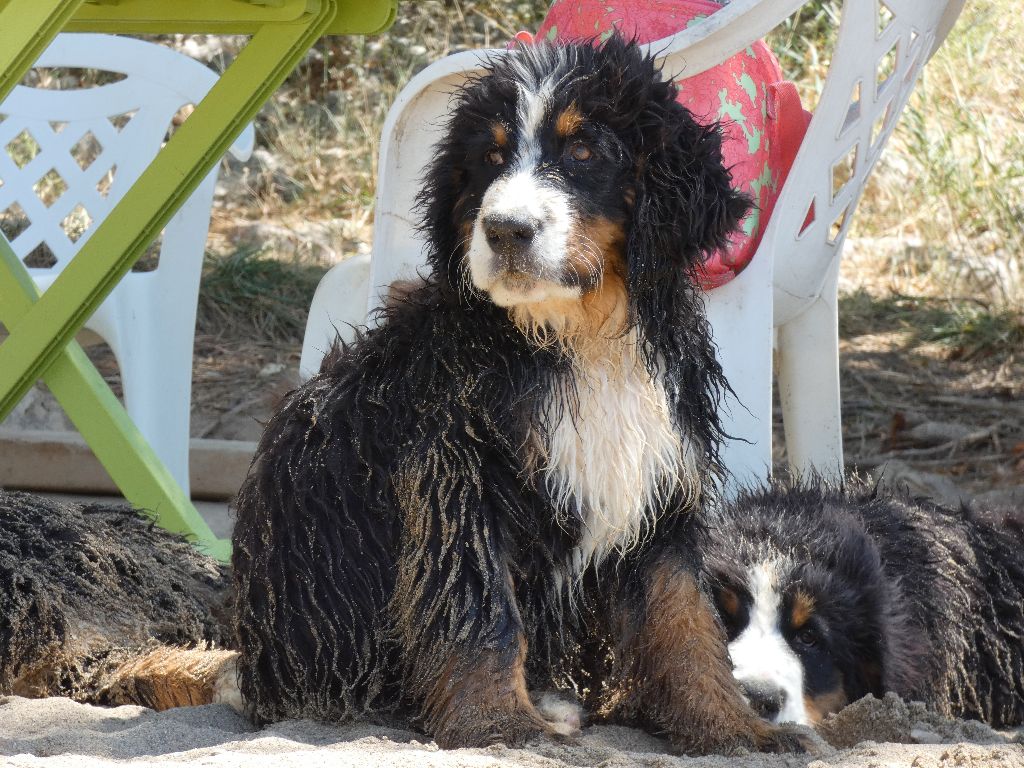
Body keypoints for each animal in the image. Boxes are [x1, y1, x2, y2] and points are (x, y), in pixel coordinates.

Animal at [230, 39, 798, 753]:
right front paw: (498, 723)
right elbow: (481, 613)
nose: (505, 230)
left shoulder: (659, 485)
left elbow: (686, 625)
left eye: (583, 150)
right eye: (492, 158)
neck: (578, 337)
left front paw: (731, 726)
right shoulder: (457, 479)